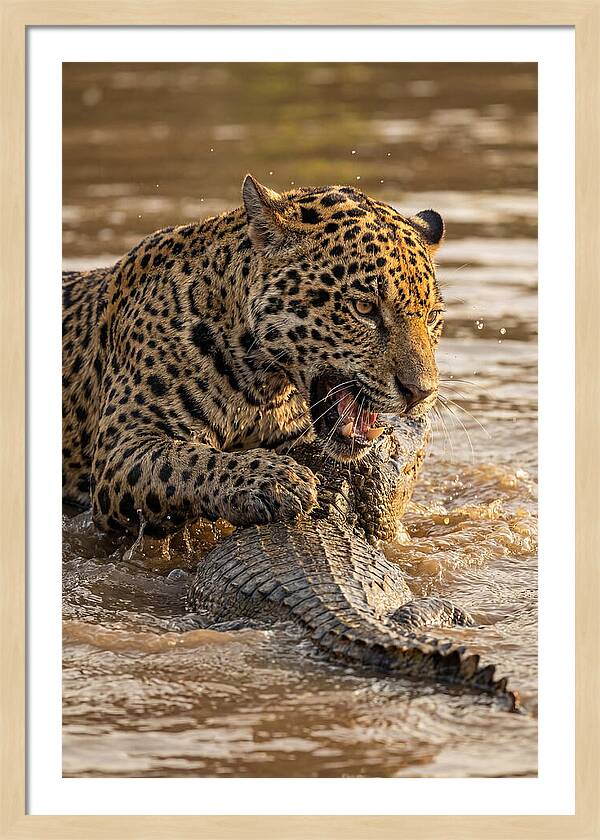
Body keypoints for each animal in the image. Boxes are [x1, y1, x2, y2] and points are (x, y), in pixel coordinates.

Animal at [62, 175, 445, 535]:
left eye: (432, 317)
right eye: (364, 308)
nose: (421, 393)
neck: (262, 385)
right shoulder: (122, 448)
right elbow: (186, 460)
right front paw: (275, 480)